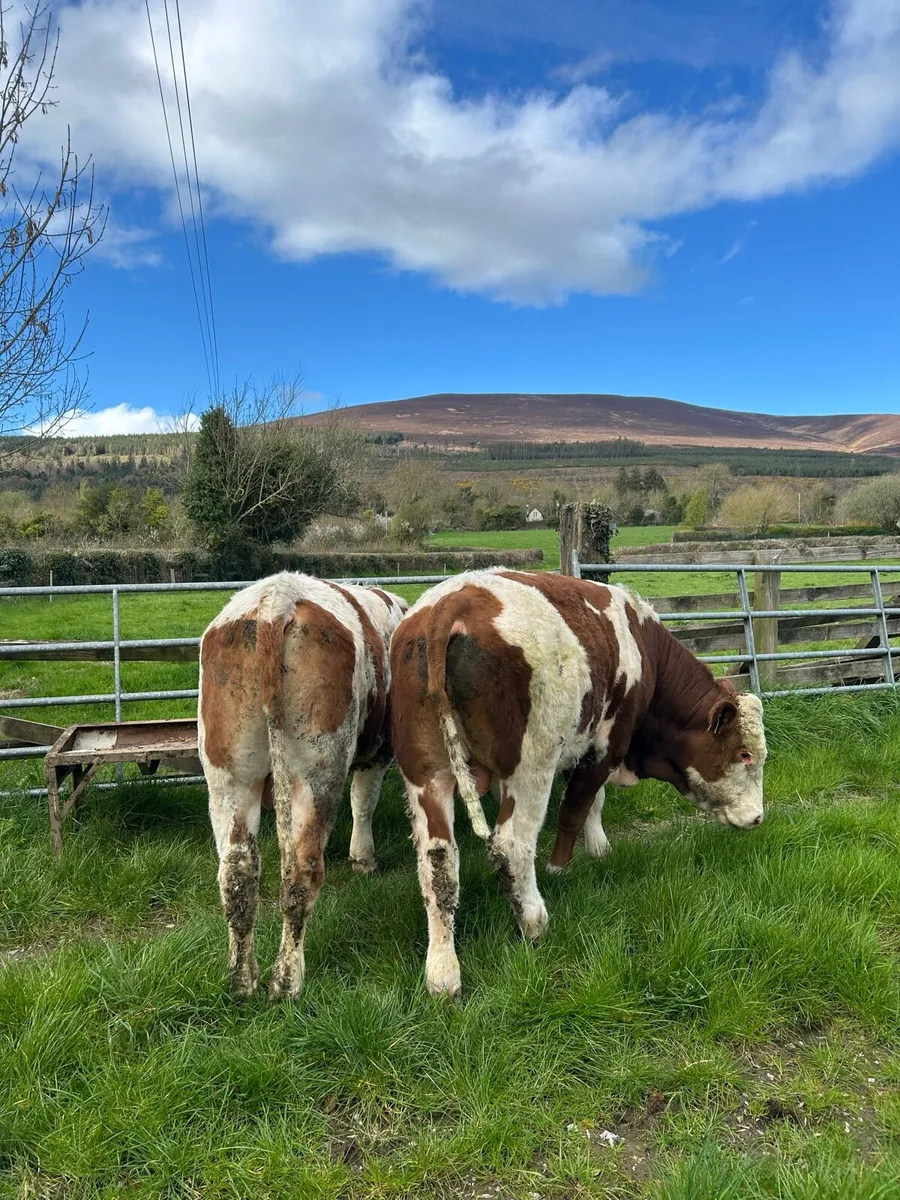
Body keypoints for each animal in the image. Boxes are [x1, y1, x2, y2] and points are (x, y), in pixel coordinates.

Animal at [198, 572, 408, 1001]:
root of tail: (276, 599)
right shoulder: (379, 751)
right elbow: (364, 802)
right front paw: (364, 859)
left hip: (229, 772)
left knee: (236, 872)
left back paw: (242, 979)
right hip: (316, 766)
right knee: (301, 868)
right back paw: (286, 981)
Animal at [390, 569, 767, 997]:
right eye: (745, 754)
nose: (757, 817)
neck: (644, 648)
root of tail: (452, 603)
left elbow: (591, 803)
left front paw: (597, 845)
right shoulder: (607, 744)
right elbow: (577, 804)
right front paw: (561, 868)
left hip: (427, 775)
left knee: (438, 860)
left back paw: (443, 971)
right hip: (531, 766)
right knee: (510, 846)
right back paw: (534, 922)